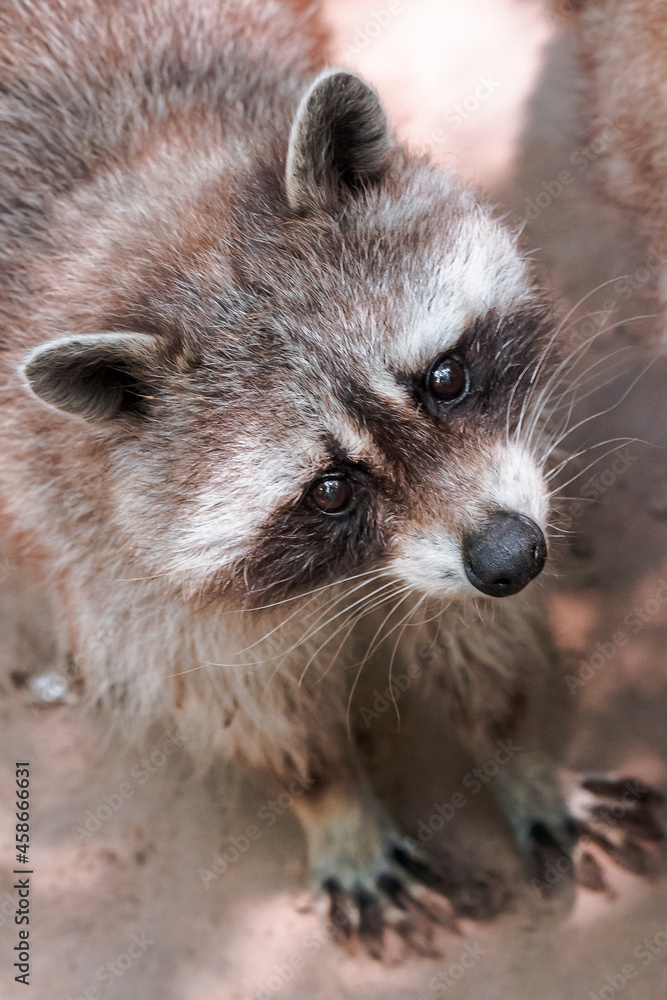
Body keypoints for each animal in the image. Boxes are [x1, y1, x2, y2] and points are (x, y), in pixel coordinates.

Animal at [0, 0, 664, 956]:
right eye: (329, 489)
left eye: (445, 377)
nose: (515, 560)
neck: (153, 177)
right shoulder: (99, 533)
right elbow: (233, 693)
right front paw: (329, 799)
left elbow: (472, 630)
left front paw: (514, 744)